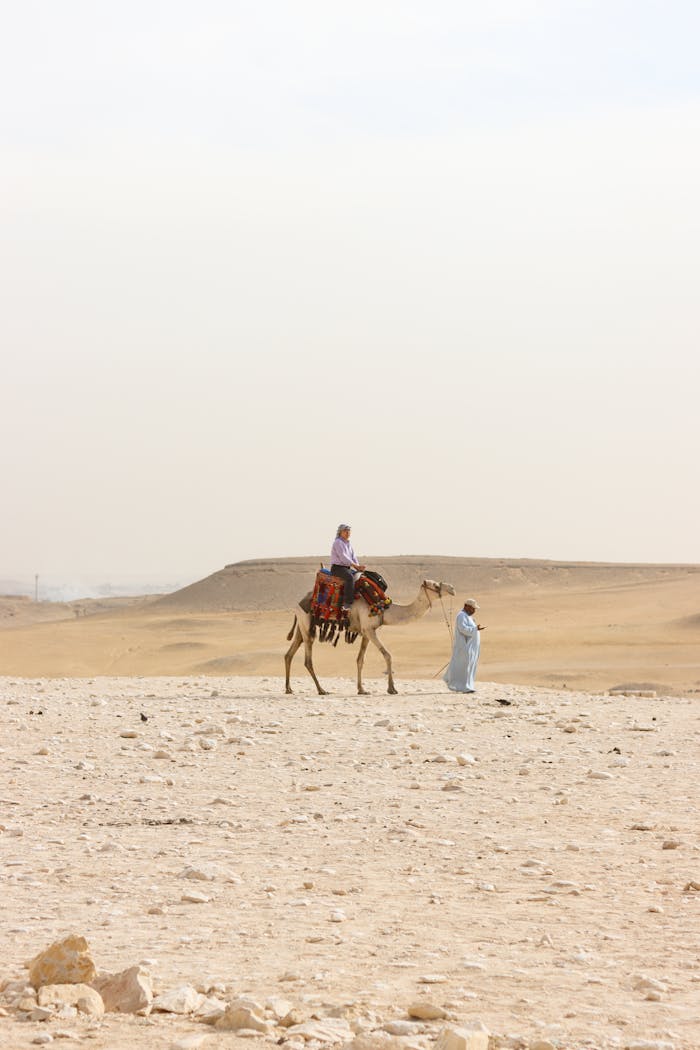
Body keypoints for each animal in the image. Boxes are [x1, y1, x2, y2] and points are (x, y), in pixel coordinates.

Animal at [284, 578, 456, 695]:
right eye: (436, 585)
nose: (452, 588)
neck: (385, 609)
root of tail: (298, 604)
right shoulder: (369, 629)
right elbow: (387, 655)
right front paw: (391, 688)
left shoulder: (366, 632)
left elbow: (360, 659)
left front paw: (361, 689)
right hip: (307, 626)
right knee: (307, 659)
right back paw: (321, 690)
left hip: (302, 627)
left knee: (289, 654)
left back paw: (289, 688)